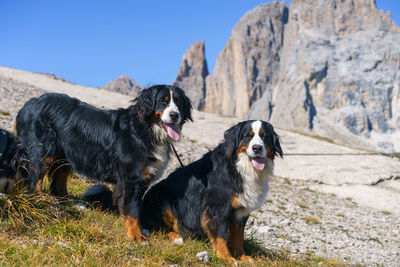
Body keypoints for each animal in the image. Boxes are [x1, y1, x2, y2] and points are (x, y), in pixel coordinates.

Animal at [16, 85, 195, 243]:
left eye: (178, 102)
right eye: (162, 101)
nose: (174, 115)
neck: (147, 129)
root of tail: (31, 102)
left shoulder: (141, 179)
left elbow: (135, 207)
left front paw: (139, 229)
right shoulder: (132, 178)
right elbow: (133, 209)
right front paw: (136, 236)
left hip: (65, 154)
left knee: (58, 182)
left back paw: (72, 203)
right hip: (42, 151)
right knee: (35, 181)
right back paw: (43, 202)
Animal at [141, 121, 284, 264]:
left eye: (264, 136)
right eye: (247, 136)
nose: (257, 148)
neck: (239, 168)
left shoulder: (241, 212)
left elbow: (238, 237)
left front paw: (242, 256)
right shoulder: (218, 208)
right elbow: (221, 235)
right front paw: (226, 257)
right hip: (161, 198)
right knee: (158, 228)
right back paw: (175, 237)